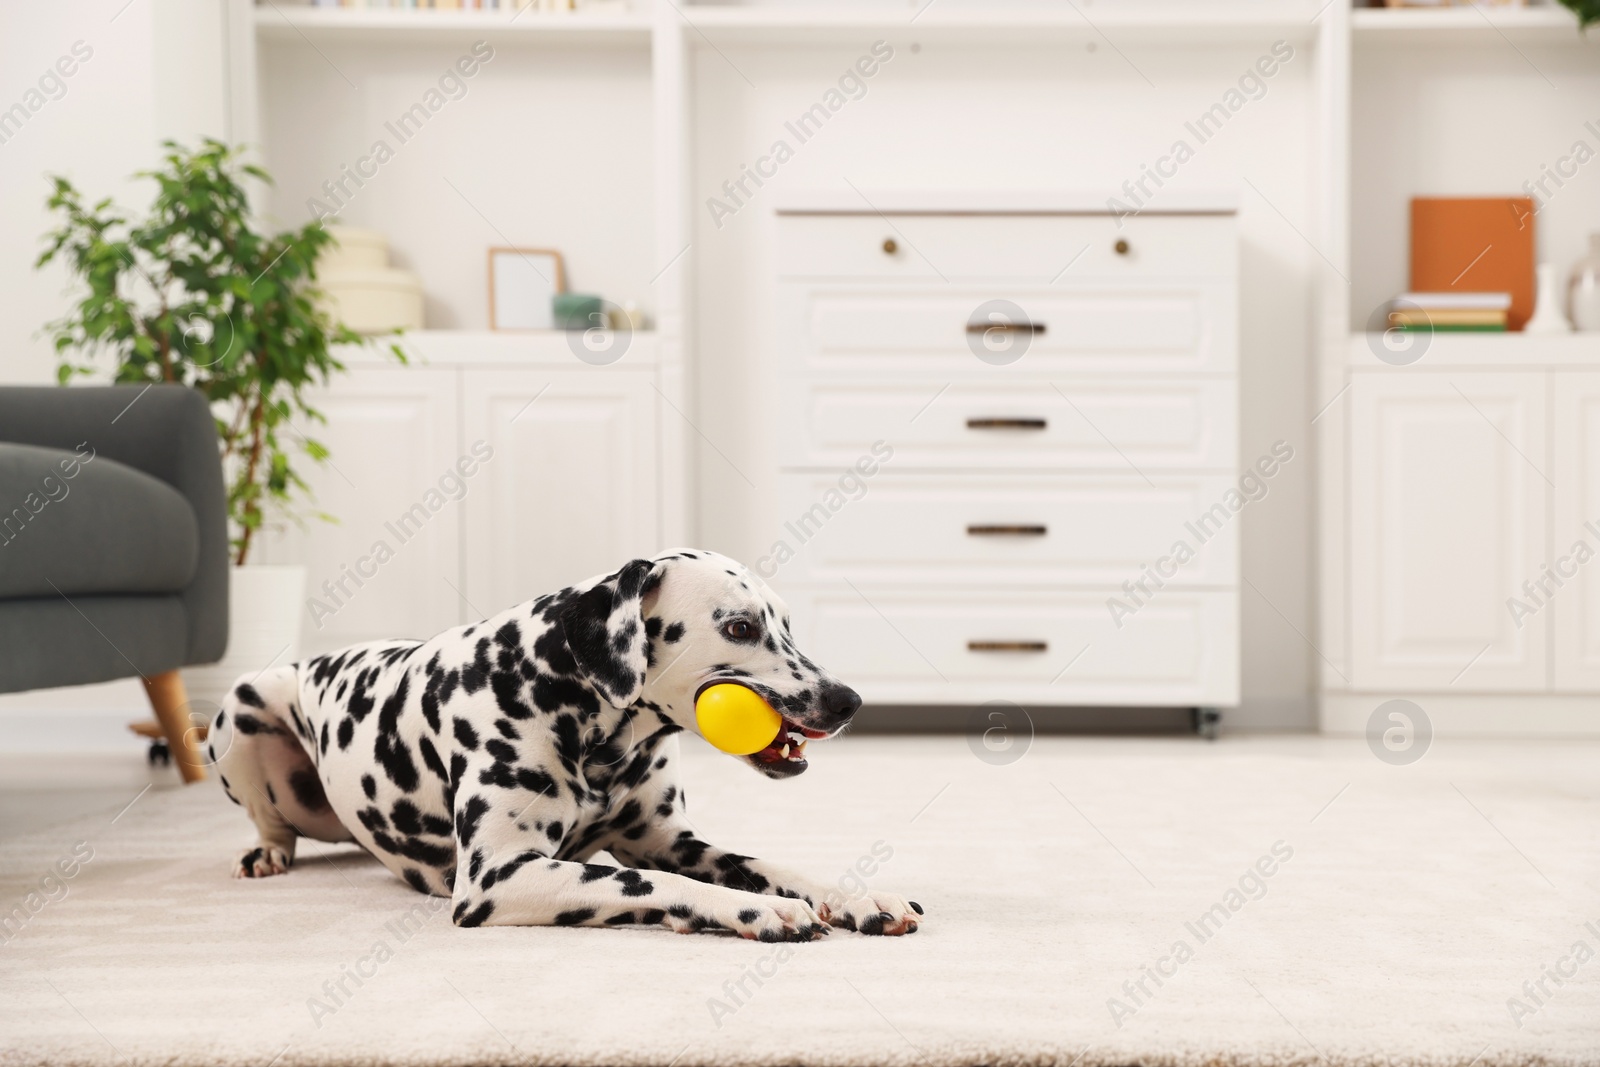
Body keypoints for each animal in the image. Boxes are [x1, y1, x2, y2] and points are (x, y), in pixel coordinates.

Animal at [206, 550, 928, 940]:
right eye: (741, 627)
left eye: (785, 624)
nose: (847, 701)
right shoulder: (498, 876)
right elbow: (648, 881)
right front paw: (757, 907)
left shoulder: (668, 839)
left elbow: (768, 862)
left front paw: (854, 896)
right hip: (241, 708)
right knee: (272, 822)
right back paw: (265, 853)